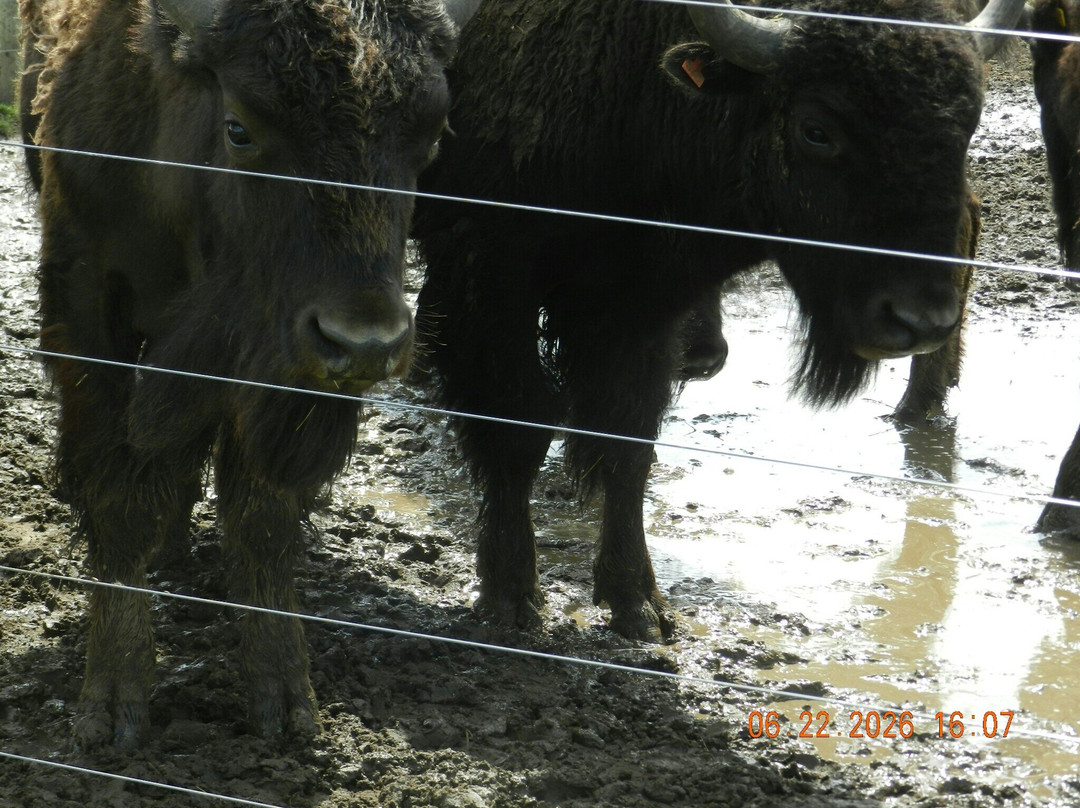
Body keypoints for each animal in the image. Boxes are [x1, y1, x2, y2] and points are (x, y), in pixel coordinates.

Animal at [19, 0, 477, 747]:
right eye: (240, 129)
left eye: (433, 139)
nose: (366, 343)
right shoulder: (88, 313)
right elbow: (117, 494)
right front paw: (111, 705)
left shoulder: (273, 365)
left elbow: (261, 514)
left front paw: (286, 698)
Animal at [412, 0, 1025, 642]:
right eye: (816, 128)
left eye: (968, 126)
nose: (919, 319)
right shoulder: (490, 284)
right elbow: (516, 427)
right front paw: (510, 598)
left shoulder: (642, 311)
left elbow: (628, 441)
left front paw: (638, 604)